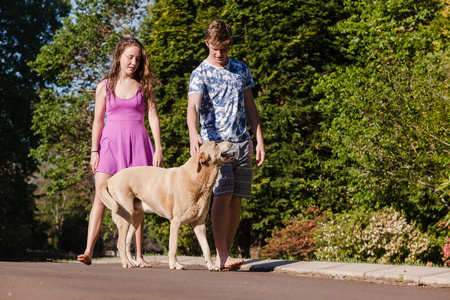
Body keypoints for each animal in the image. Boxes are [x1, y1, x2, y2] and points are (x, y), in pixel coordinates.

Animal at [98, 141, 232, 270]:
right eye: (215, 144)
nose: (231, 141)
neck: (198, 178)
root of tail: (110, 179)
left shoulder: (199, 224)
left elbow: (206, 248)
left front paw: (211, 266)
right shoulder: (176, 222)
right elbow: (173, 247)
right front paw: (174, 265)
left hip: (136, 218)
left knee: (126, 242)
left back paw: (133, 262)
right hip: (126, 214)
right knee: (120, 243)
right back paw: (126, 263)